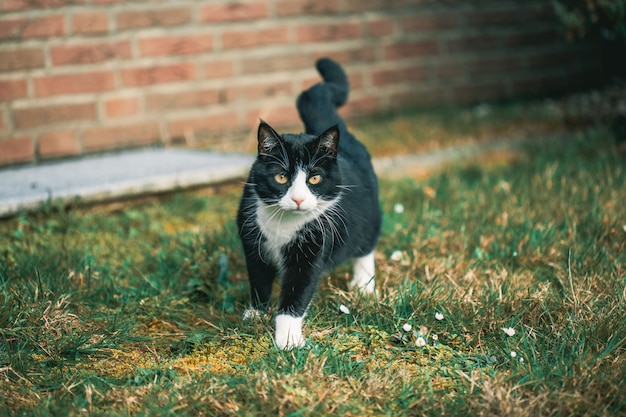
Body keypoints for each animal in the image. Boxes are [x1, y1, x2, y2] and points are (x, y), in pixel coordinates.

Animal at [234, 57, 380, 350]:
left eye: (314, 178)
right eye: (281, 176)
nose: (299, 198)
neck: (283, 225)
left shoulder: (314, 246)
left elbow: (297, 292)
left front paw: (288, 340)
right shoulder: (251, 239)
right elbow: (258, 278)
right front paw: (255, 313)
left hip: (370, 211)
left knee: (367, 242)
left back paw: (363, 283)